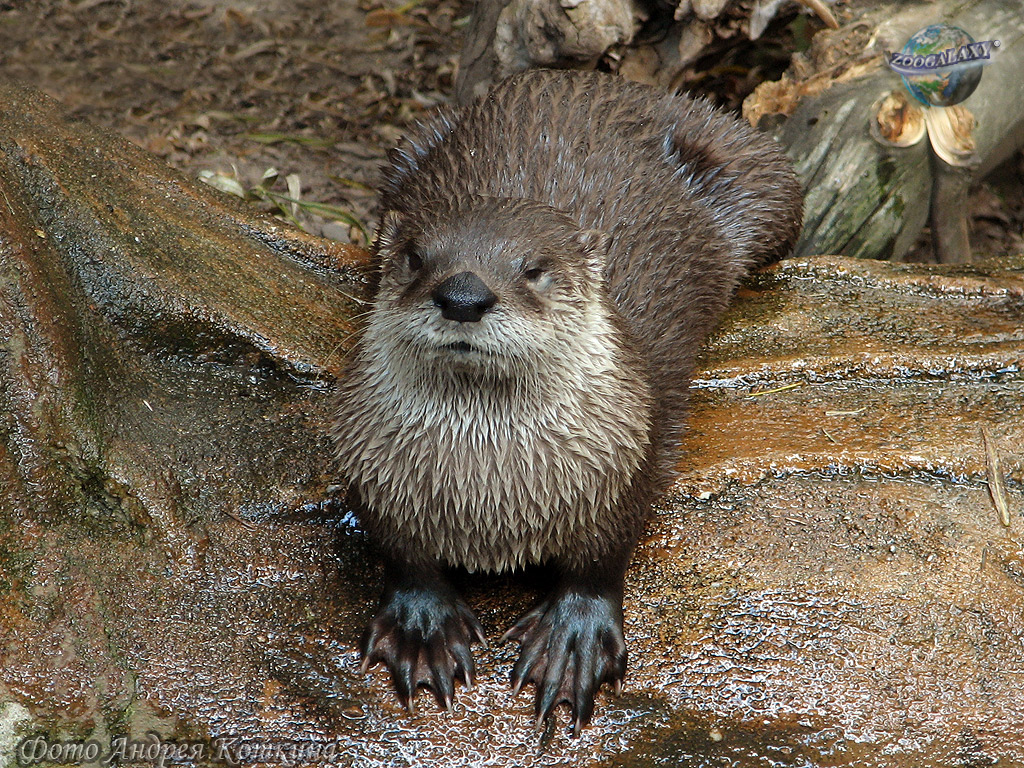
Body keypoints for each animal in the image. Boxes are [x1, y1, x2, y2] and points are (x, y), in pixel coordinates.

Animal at [331, 67, 802, 733]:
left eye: (533, 268)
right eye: (416, 257)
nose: (463, 294)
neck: (489, 492)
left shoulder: (629, 449)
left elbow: (603, 553)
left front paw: (572, 635)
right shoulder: (368, 456)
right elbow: (399, 549)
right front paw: (422, 625)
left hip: (757, 168)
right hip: (412, 142)